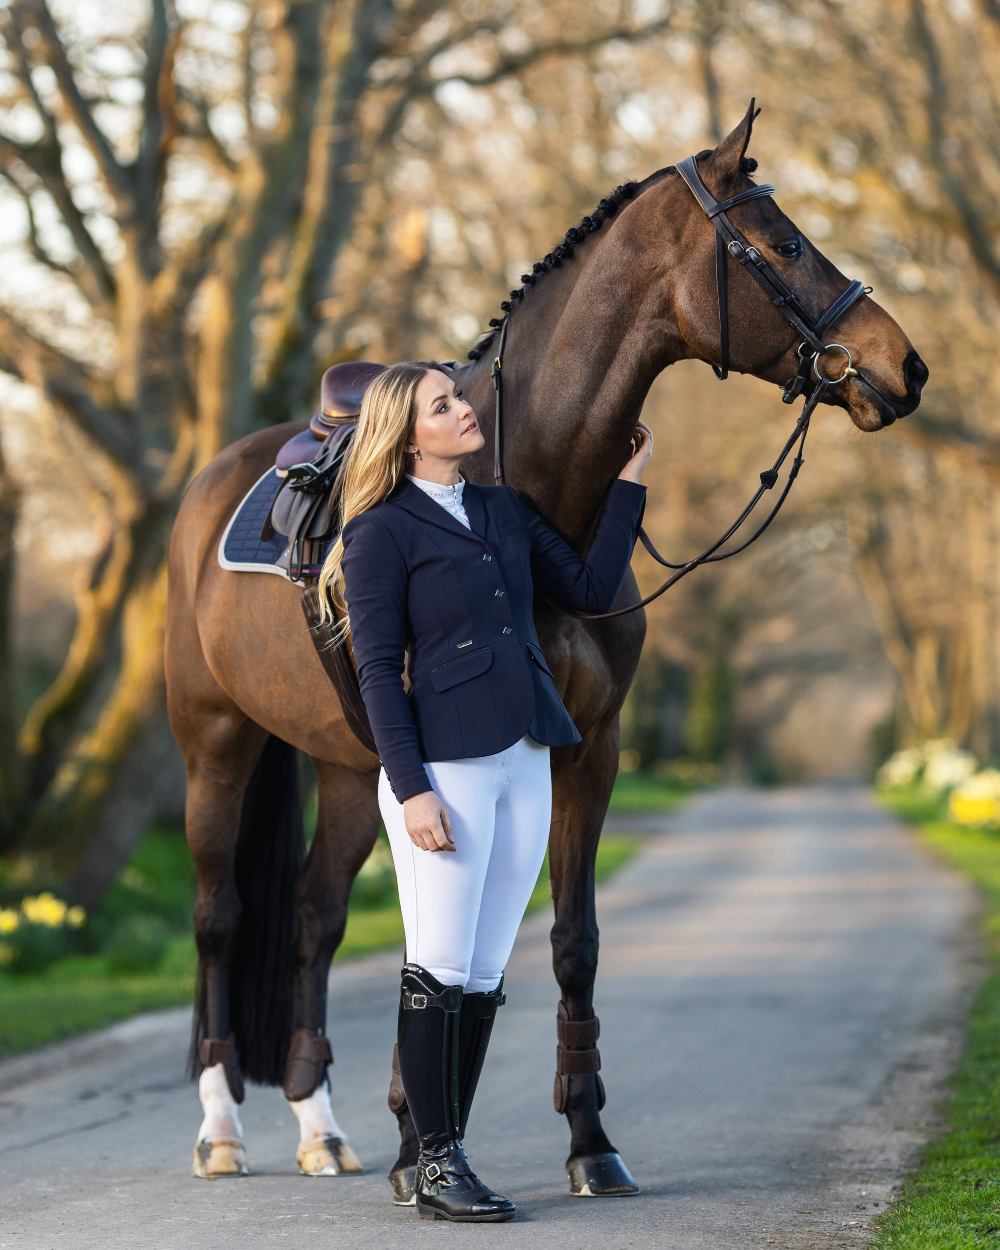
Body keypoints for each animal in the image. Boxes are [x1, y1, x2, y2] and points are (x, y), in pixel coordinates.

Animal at [166, 102, 930, 1195]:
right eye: (783, 245)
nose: (903, 365)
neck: (526, 492)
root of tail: (214, 478)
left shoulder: (588, 748)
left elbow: (572, 942)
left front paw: (585, 1140)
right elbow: (441, 937)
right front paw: (425, 1138)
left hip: (349, 767)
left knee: (313, 916)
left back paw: (321, 1126)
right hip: (216, 744)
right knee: (220, 918)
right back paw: (222, 1127)